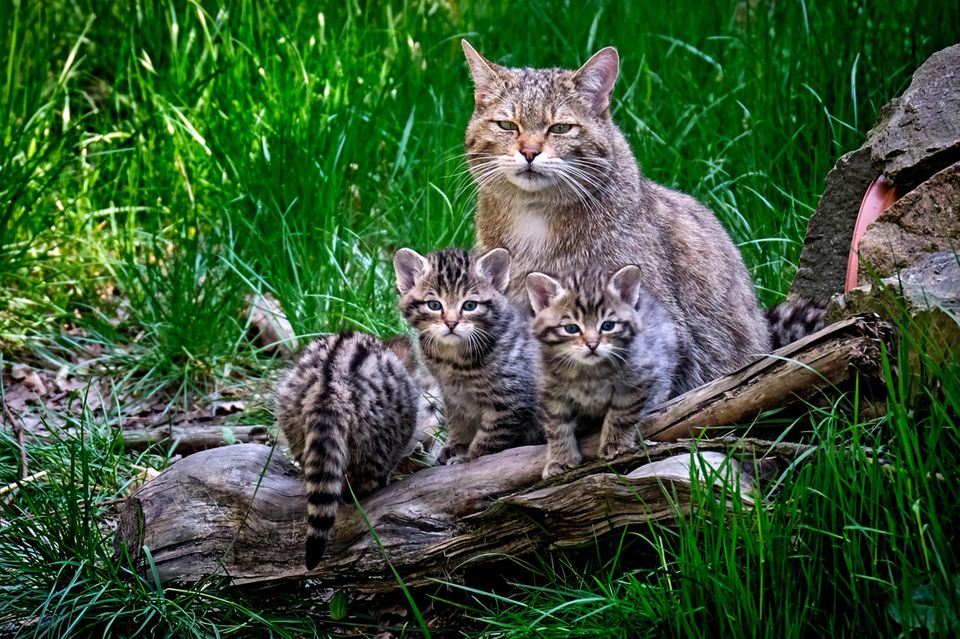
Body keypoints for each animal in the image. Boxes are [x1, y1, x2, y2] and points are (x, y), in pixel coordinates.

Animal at [394, 246, 544, 464]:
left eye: (470, 306)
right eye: (434, 305)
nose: (451, 323)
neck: (453, 358)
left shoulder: (511, 399)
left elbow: (491, 436)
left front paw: (470, 457)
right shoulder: (451, 395)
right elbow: (458, 422)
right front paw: (456, 446)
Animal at [528, 264, 680, 480]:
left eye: (608, 325)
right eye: (571, 328)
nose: (592, 344)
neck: (588, 373)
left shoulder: (638, 379)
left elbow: (622, 414)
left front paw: (615, 443)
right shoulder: (551, 391)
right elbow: (557, 427)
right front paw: (561, 459)